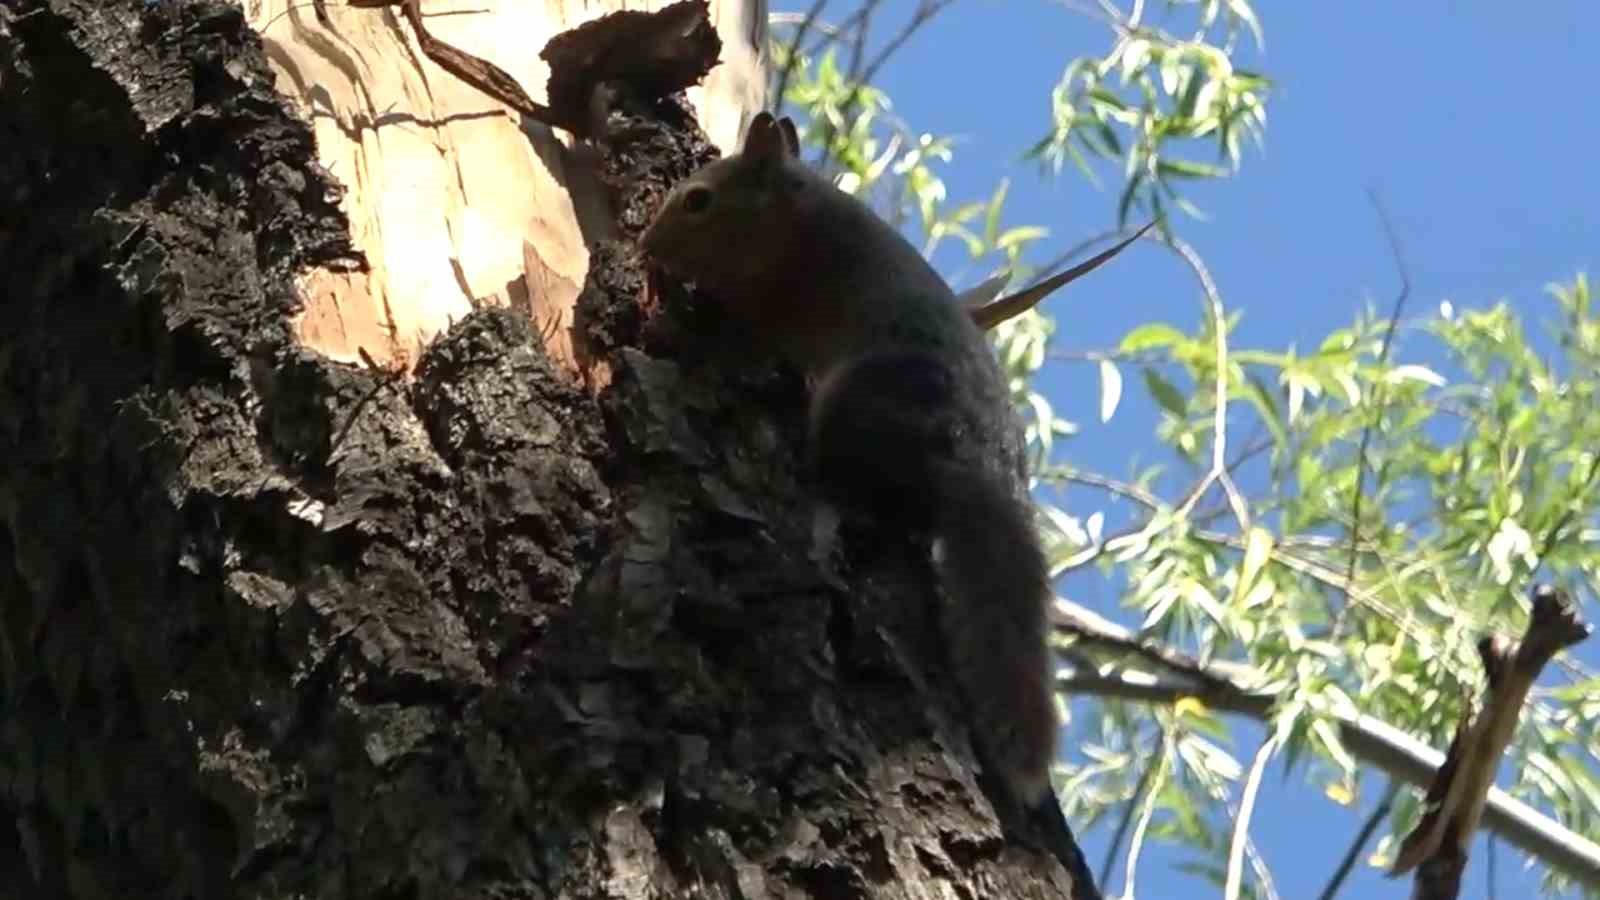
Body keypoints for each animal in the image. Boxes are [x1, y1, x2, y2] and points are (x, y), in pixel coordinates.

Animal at [636, 117, 1062, 819]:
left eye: (698, 201)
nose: (647, 244)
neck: (794, 219)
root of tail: (980, 463)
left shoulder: (772, 304)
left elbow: (732, 335)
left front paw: (675, 323)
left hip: (855, 406)